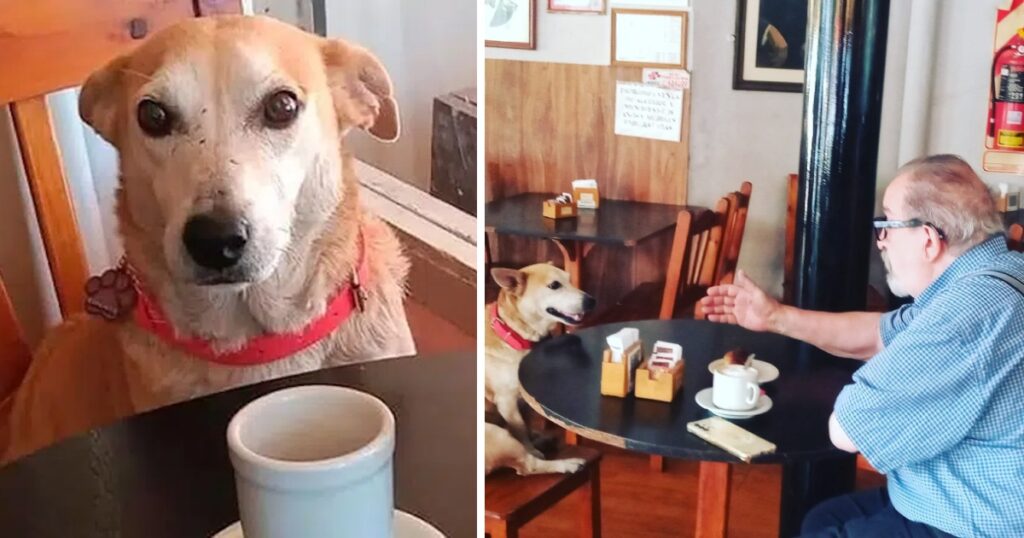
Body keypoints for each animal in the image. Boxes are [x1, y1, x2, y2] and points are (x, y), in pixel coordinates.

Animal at [483, 264, 598, 473]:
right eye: (554, 285)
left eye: (570, 280)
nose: (592, 300)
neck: (514, 334)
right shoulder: (507, 402)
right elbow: (520, 429)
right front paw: (531, 447)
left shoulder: (526, 397)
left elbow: (526, 425)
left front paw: (534, 439)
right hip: (494, 433)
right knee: (528, 466)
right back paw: (566, 463)